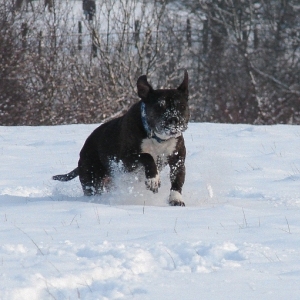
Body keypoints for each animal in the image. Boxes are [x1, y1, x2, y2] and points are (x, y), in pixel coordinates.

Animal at [53, 71, 190, 206]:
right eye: (159, 106)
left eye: (182, 106)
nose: (174, 119)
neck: (157, 138)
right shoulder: (126, 161)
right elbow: (147, 156)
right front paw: (153, 179)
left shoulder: (178, 161)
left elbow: (177, 181)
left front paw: (176, 199)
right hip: (92, 177)